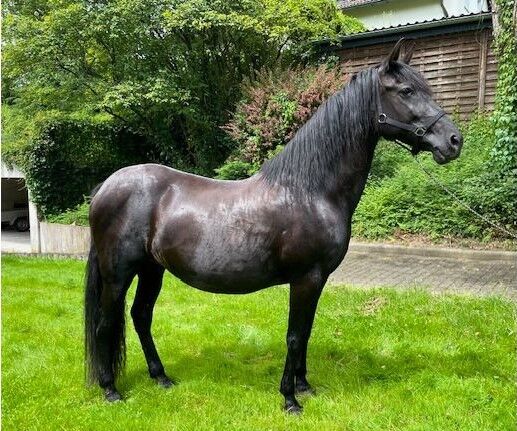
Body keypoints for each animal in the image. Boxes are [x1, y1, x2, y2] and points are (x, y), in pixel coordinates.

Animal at [83, 41, 460, 416]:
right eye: (407, 91)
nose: (454, 141)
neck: (309, 191)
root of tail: (105, 188)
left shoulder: (318, 279)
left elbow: (305, 333)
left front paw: (305, 386)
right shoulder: (305, 278)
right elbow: (294, 336)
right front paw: (290, 399)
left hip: (152, 269)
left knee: (141, 316)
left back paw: (161, 377)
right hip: (119, 274)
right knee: (106, 324)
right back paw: (111, 390)